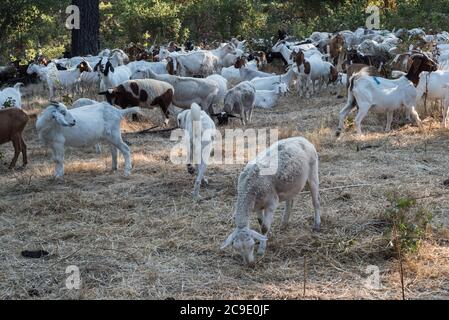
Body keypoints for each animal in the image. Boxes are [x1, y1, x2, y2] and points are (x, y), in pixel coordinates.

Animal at [220, 136, 318, 266]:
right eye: (236, 248)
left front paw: (261, 250)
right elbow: (261, 223)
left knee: (316, 201)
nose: (250, 265)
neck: (249, 189)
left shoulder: (271, 202)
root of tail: (301, 138)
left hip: (313, 169)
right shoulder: (256, 205)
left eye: (252, 246)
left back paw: (317, 224)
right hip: (291, 184)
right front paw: (264, 238)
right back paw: (284, 223)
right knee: (290, 203)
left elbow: (264, 227)